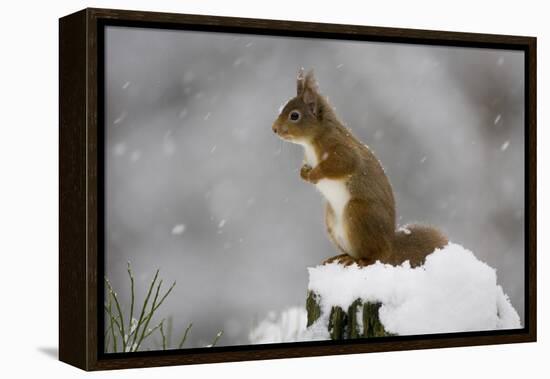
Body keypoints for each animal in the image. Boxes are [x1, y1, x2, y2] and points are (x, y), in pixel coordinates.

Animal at [272, 70, 448, 268]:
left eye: (294, 115)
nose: (274, 129)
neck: (311, 141)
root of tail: (390, 247)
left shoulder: (340, 149)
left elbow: (343, 164)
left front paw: (315, 174)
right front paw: (304, 174)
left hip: (358, 214)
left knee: (372, 256)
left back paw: (356, 259)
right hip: (331, 220)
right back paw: (340, 257)